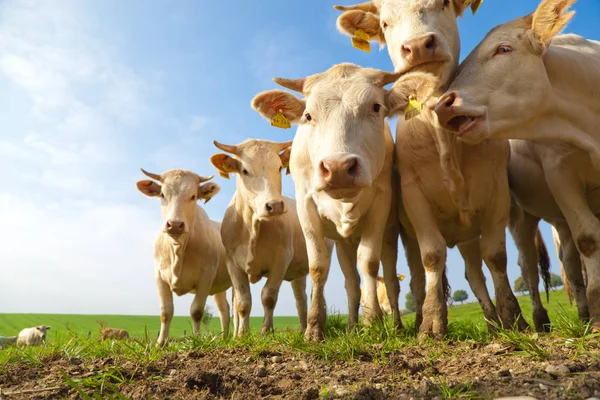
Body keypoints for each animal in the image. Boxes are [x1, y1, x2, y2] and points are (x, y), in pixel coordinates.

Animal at [137, 168, 232, 344]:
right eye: (162, 194)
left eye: (193, 196)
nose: (175, 225)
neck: (178, 250)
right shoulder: (159, 276)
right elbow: (166, 312)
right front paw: (161, 343)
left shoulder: (206, 276)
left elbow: (196, 311)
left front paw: (196, 340)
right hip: (219, 287)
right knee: (224, 308)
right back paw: (225, 338)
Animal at [211, 139, 328, 336]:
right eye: (245, 170)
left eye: (279, 167)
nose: (275, 206)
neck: (252, 227)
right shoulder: (232, 263)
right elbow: (242, 302)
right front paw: (242, 334)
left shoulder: (281, 259)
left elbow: (269, 297)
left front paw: (266, 330)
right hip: (298, 271)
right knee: (300, 297)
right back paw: (303, 327)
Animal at [336, 0, 528, 338]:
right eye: (384, 23)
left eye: (443, 4)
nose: (416, 46)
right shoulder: (414, 196)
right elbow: (432, 256)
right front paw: (432, 323)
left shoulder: (497, 192)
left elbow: (496, 256)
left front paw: (513, 318)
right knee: (419, 275)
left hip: (466, 234)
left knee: (475, 273)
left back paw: (493, 322)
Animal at [436, 0, 600, 332]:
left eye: (503, 49)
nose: (443, 104)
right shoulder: (560, 173)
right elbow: (589, 239)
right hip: (519, 216)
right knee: (529, 267)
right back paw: (539, 319)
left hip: (556, 219)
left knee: (568, 261)